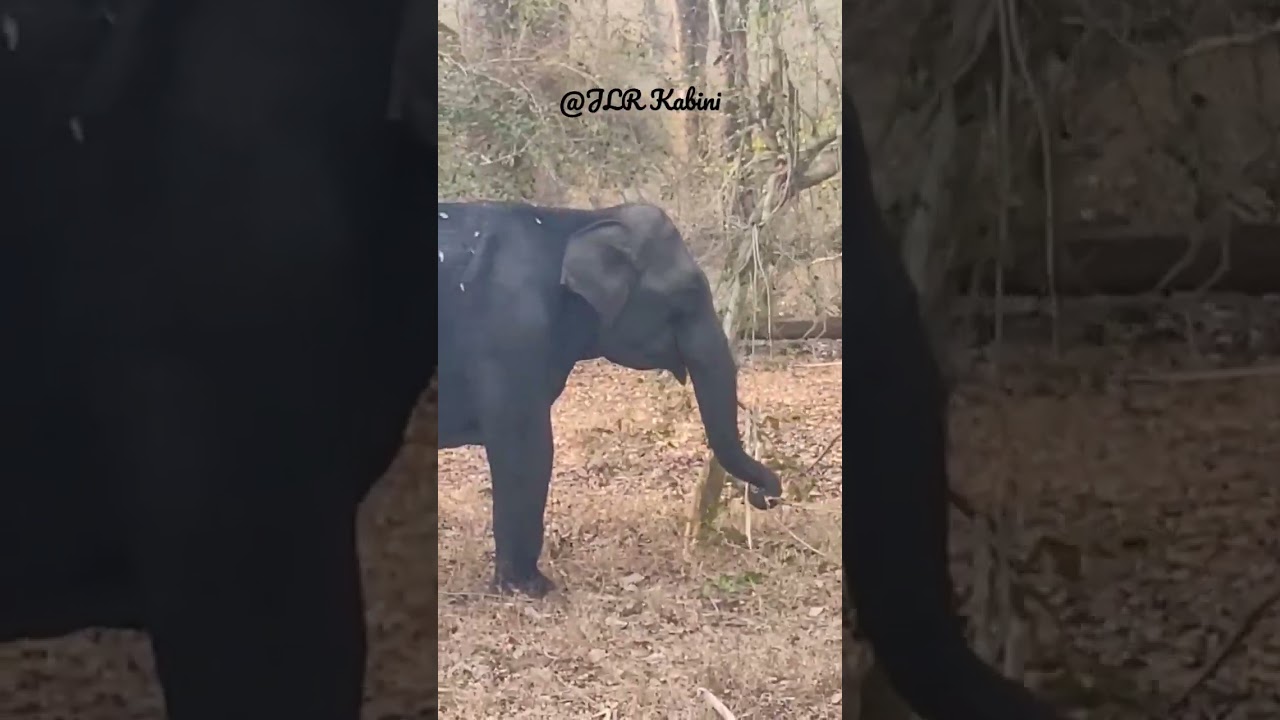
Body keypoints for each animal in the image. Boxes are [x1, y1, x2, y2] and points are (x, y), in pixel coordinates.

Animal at [437, 201, 783, 595]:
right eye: (688, 292)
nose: (762, 495)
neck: (578, 220)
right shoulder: (511, 337)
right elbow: (528, 448)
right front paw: (532, 587)